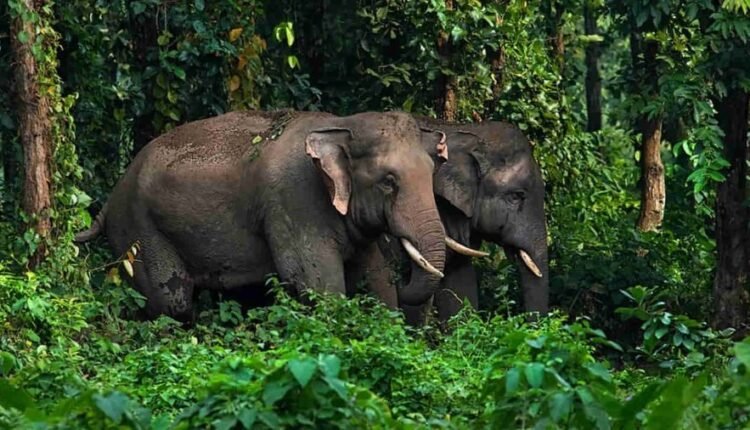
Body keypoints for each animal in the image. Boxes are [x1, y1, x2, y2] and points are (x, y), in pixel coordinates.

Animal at [74, 110, 452, 322]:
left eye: (432, 169)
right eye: (389, 181)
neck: (340, 126)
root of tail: (110, 199)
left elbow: (376, 278)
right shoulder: (293, 200)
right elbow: (316, 284)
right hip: (138, 231)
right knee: (172, 303)